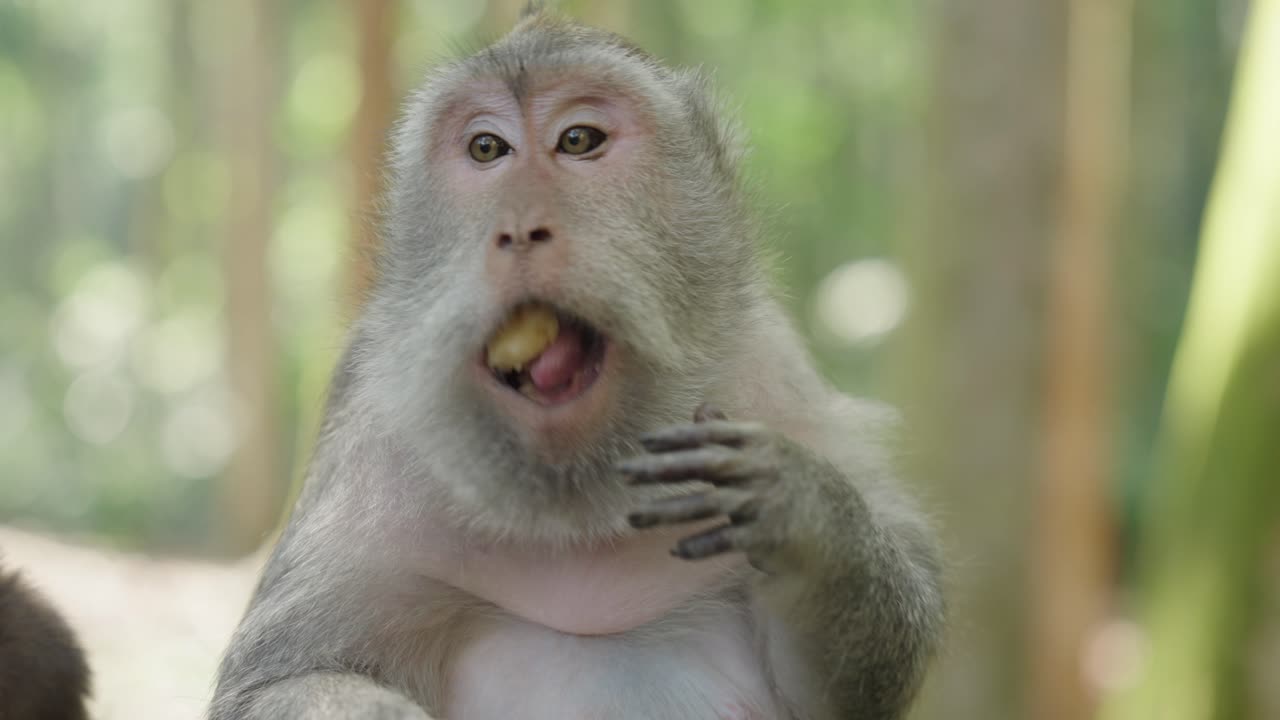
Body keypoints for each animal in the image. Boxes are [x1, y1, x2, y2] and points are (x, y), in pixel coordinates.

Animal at [211, 9, 943, 720]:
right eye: (487, 149)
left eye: (579, 140)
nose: (518, 228)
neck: (581, 512)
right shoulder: (368, 453)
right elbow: (274, 681)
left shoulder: (778, 380)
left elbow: (856, 679)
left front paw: (806, 512)